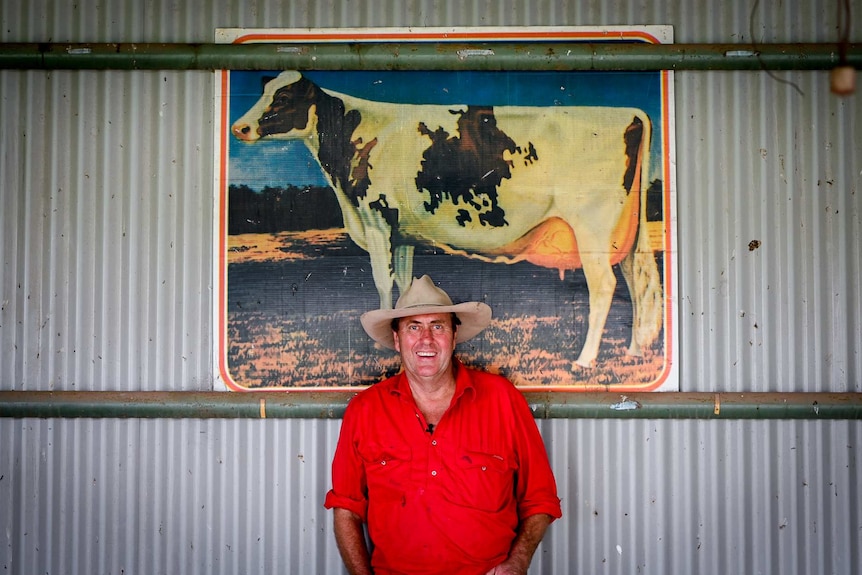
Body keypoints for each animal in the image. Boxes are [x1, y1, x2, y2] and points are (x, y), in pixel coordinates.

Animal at [233, 71, 664, 368]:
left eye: (283, 96)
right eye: (264, 90)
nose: (239, 127)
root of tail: (631, 112)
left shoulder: (376, 218)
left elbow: (381, 281)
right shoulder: (403, 232)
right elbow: (404, 284)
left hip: (592, 226)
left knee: (605, 286)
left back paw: (585, 360)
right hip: (623, 233)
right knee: (635, 281)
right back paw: (633, 351)